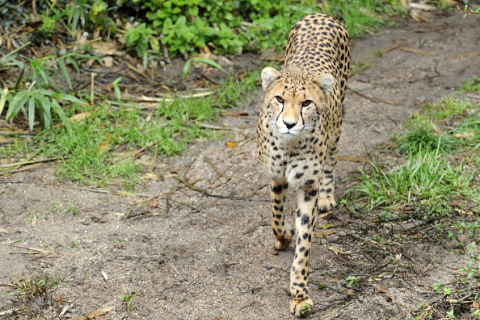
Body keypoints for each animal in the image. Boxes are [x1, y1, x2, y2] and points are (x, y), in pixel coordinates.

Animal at [256, 11, 350, 318]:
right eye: (279, 99)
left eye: (306, 103)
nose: (289, 123)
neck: (290, 144)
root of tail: (321, 14)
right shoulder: (275, 175)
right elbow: (276, 217)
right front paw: (284, 235)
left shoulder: (308, 186)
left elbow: (304, 242)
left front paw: (299, 294)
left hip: (337, 124)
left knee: (331, 160)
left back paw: (328, 197)